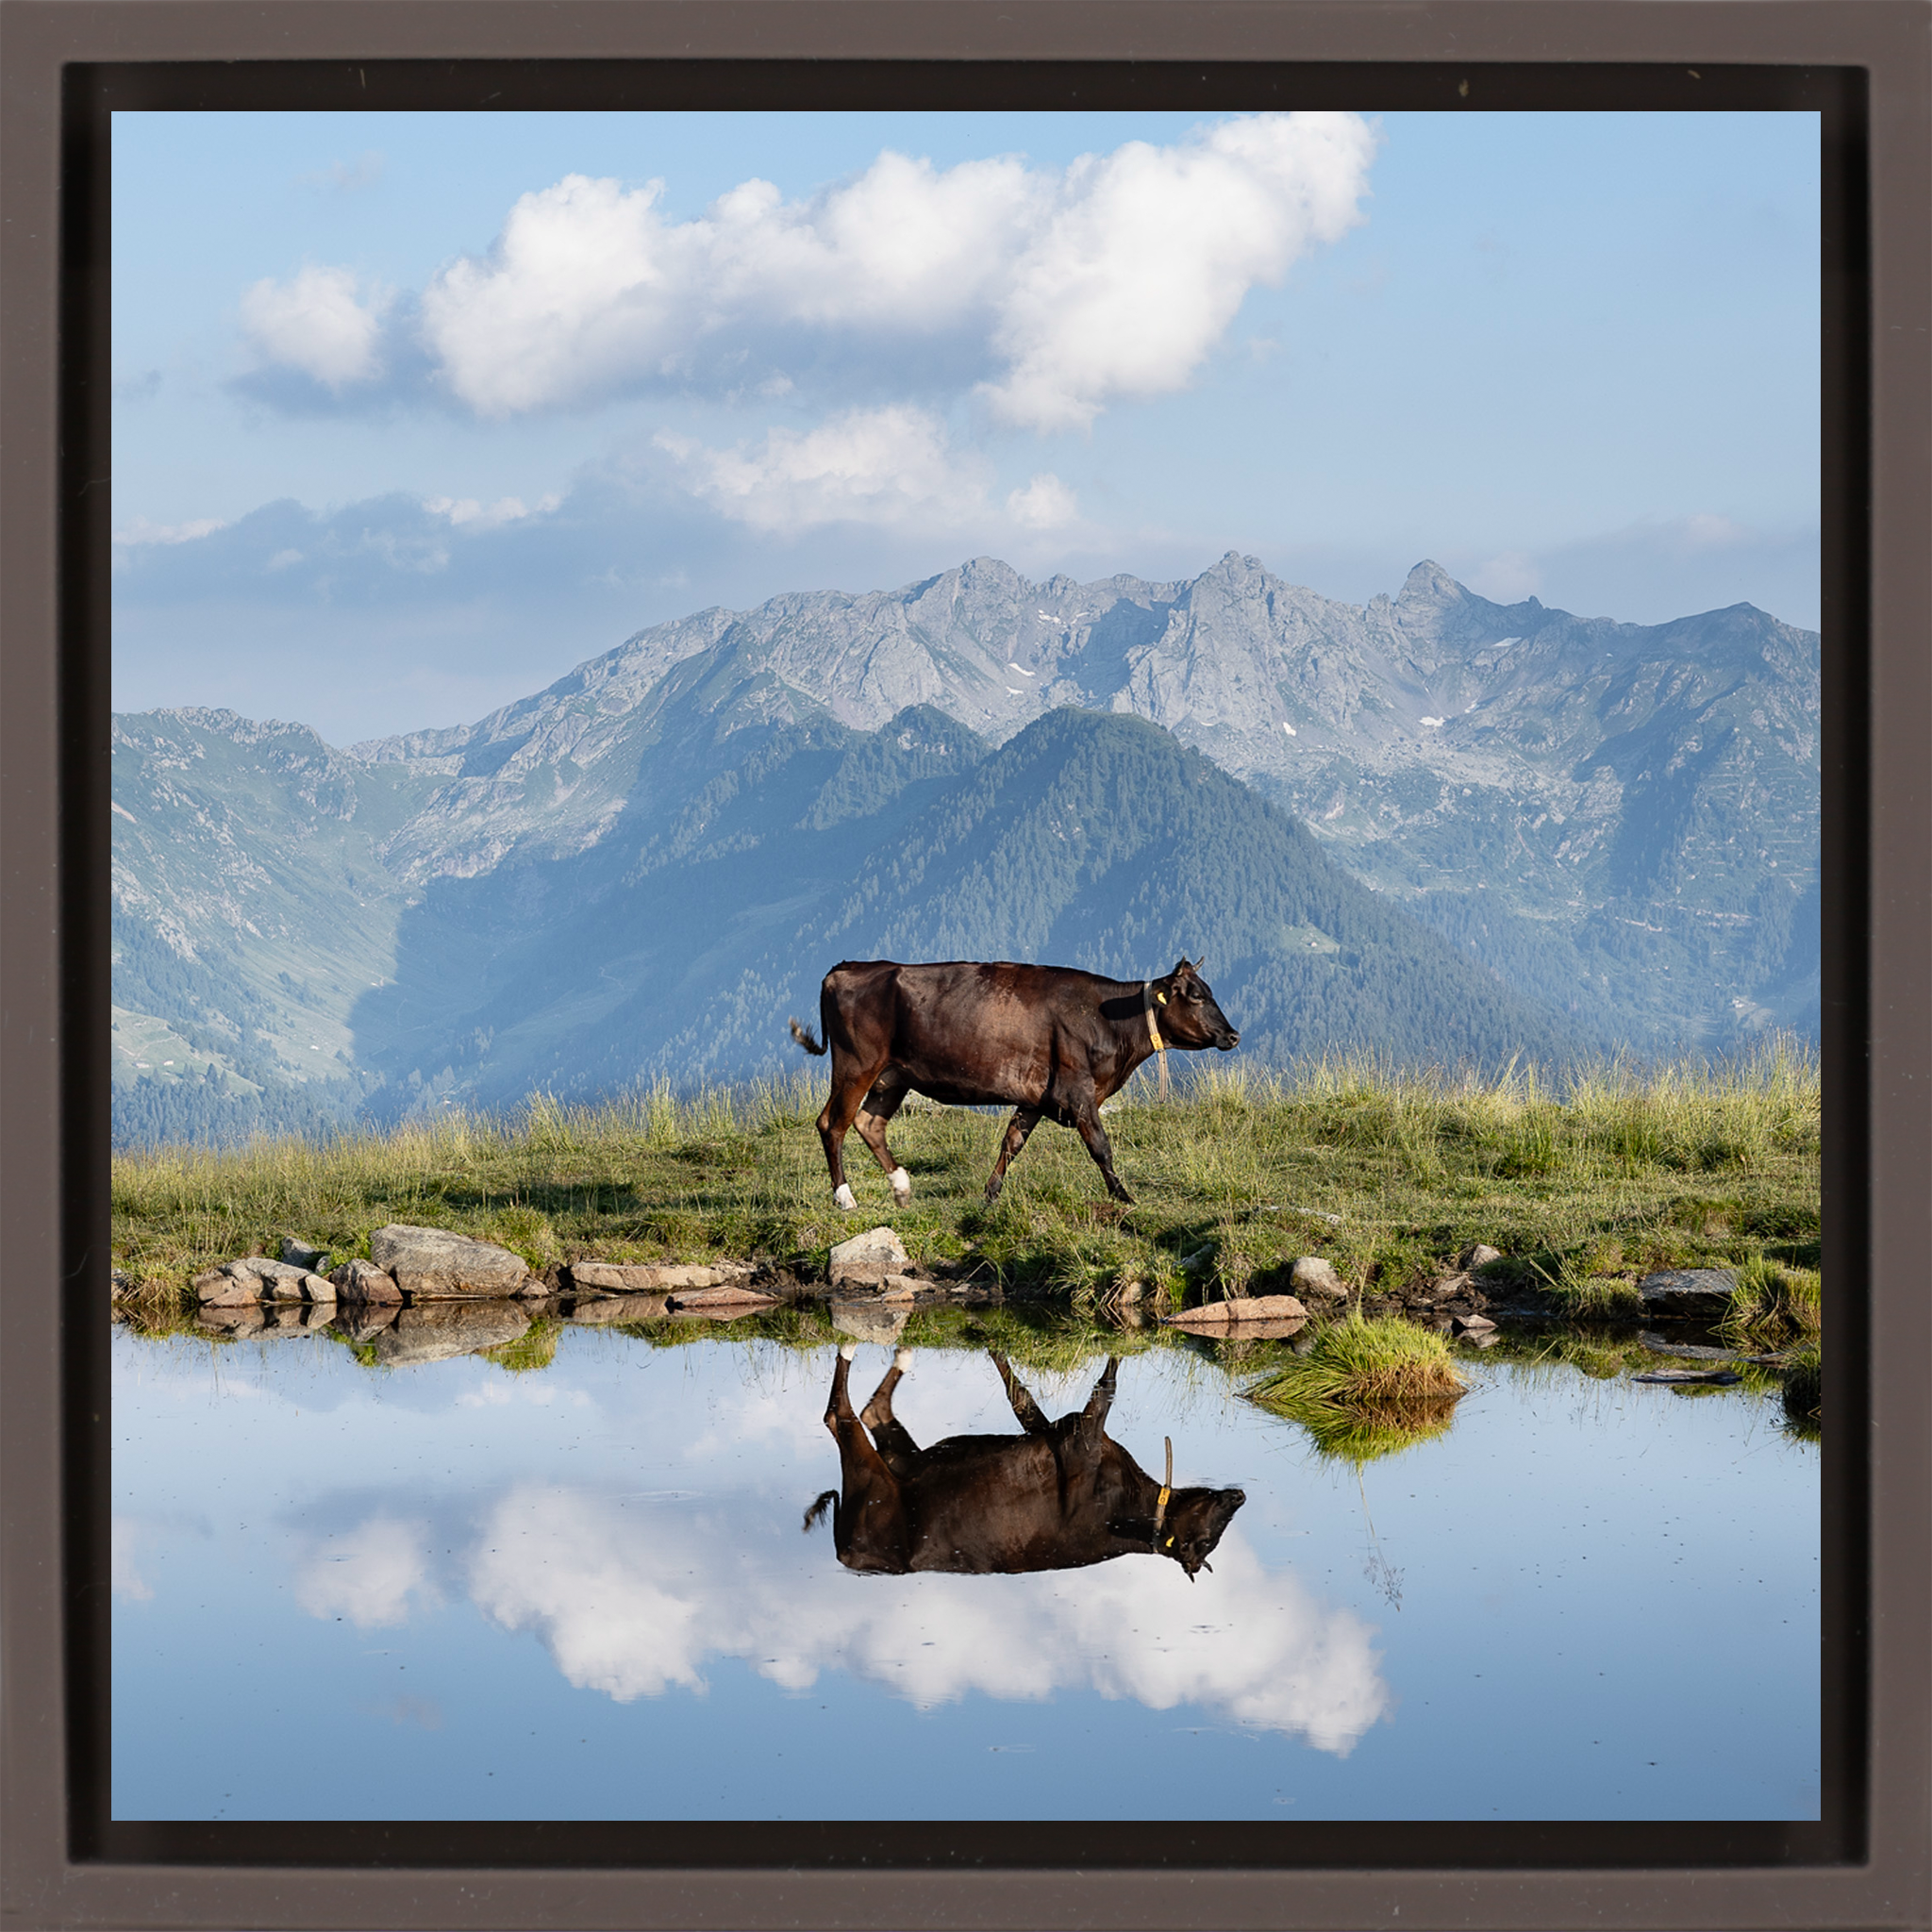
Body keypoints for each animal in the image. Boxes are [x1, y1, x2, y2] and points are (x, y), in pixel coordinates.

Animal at [786, 957, 1238, 1209]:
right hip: (856, 1064)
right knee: (833, 1124)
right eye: (1196, 996)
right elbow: (1101, 1147)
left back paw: (901, 1187)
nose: (1233, 1035)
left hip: (892, 1077)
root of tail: (847, 968)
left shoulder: (1037, 1098)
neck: (1107, 1019)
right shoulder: (1078, 1092)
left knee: (869, 1124)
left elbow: (1012, 1142)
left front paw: (990, 1194)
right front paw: (1124, 1196)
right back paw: (845, 1198)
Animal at [804, 1347, 1247, 1581]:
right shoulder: (1075, 1435)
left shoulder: (1071, 1435)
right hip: (879, 1478)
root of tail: (846, 1554)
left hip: (888, 1471)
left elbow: (1035, 1395)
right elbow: (1070, 1388)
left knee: (856, 1412)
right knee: (846, 1412)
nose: (1240, 1495)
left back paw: (891, 1354)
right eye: (1205, 1540)